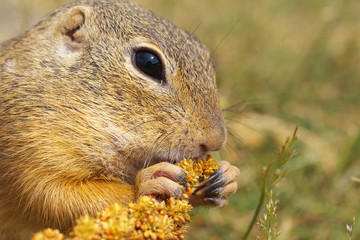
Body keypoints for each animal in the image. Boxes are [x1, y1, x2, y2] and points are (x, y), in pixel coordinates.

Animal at [1, 0, 240, 239]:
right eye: (148, 62)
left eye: (204, 52)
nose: (216, 141)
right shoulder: (29, 150)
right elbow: (54, 196)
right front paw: (146, 185)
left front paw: (227, 176)